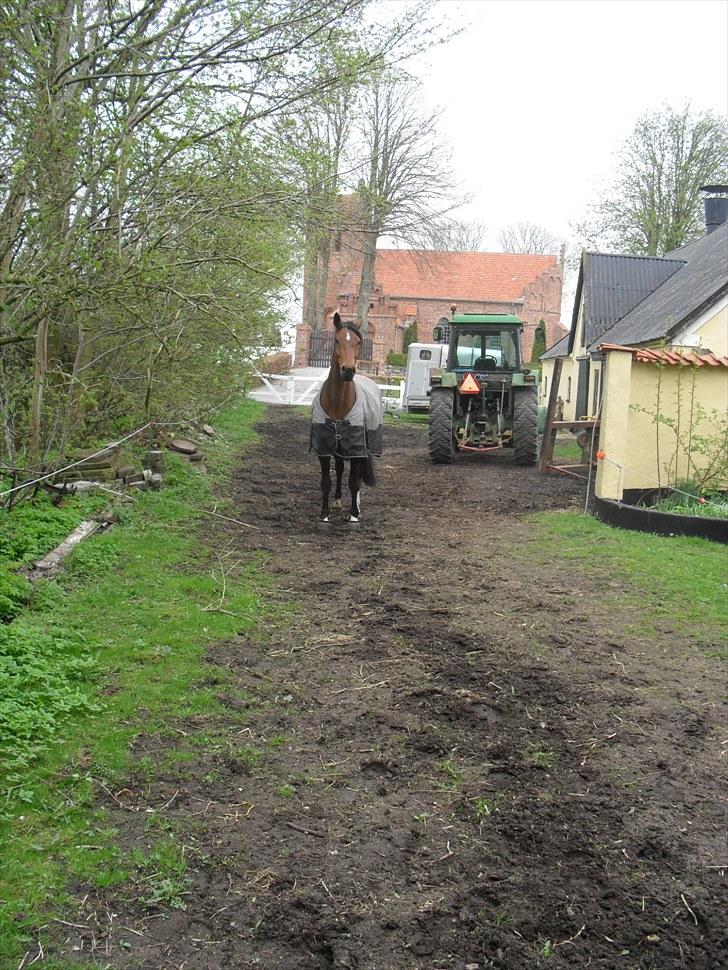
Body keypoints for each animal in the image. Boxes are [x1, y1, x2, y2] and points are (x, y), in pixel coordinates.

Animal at [310, 312, 384, 520]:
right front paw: (324, 514)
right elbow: (326, 481)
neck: (337, 402)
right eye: (337, 340)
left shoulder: (357, 446)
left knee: (356, 475)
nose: (348, 370)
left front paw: (353, 516)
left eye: (358, 342)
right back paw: (337, 500)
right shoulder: (324, 446)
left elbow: (354, 481)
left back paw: (356, 506)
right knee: (341, 468)